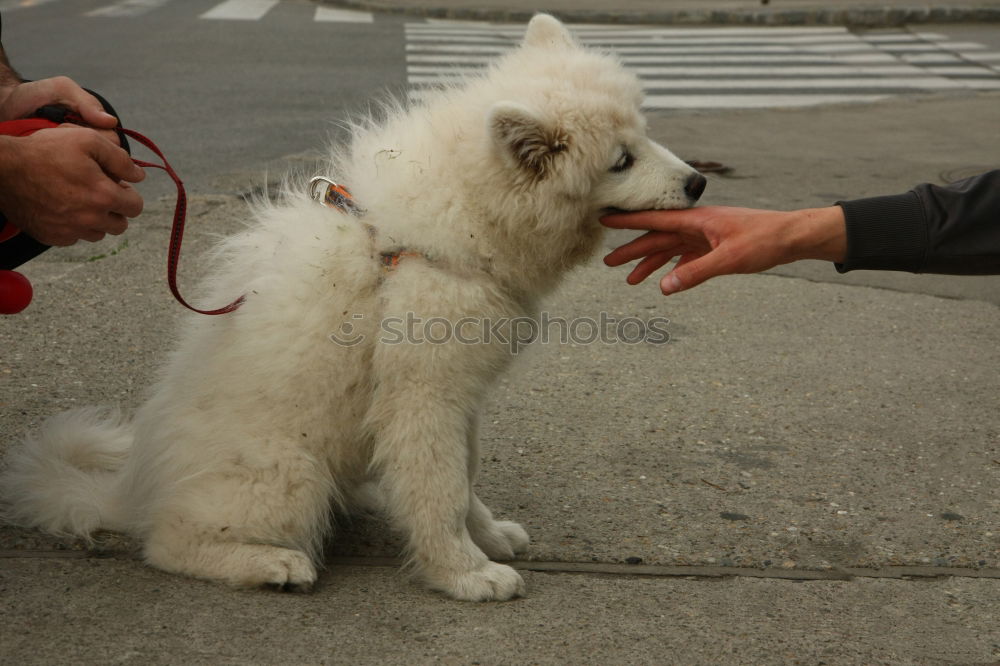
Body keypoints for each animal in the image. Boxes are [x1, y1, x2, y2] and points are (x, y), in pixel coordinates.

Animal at [0, 15, 704, 600]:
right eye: (621, 160)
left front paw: (487, 537)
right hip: (289, 475)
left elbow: (462, 478)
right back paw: (272, 564)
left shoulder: (459, 394)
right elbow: (440, 488)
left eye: (643, 135)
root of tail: (133, 490)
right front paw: (465, 574)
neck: (462, 219)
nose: (699, 182)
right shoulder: (423, 394)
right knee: (168, 543)